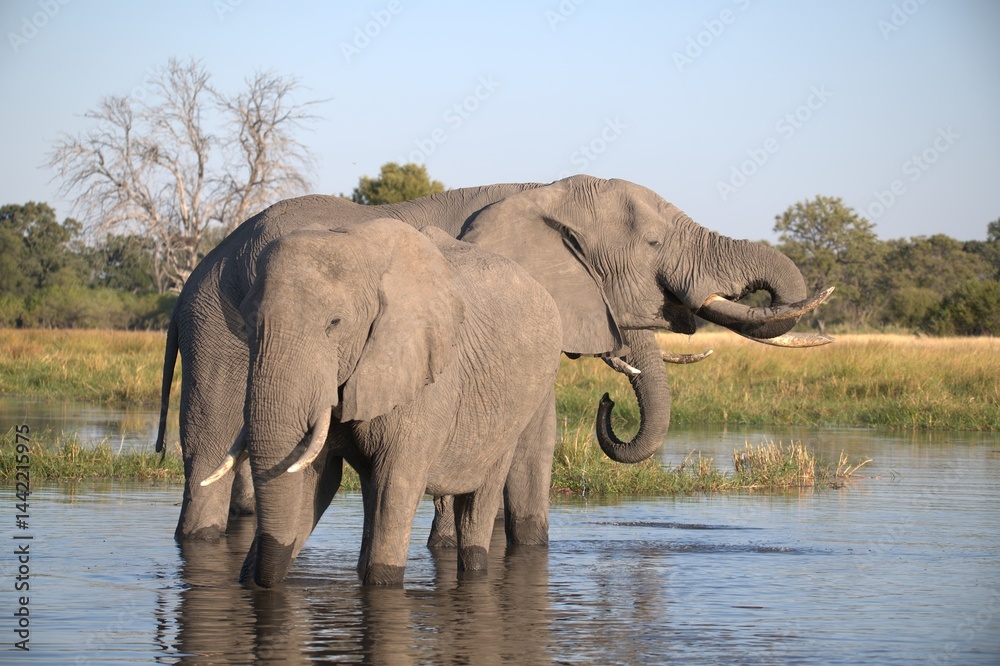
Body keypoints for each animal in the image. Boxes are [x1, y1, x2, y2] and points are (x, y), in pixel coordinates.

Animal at [156, 175, 831, 544]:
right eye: (654, 243)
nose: (611, 402)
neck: (543, 190)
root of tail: (189, 285)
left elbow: (529, 434)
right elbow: (532, 439)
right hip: (221, 337)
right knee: (209, 452)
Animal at [205, 218, 564, 586]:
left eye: (335, 323)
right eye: (246, 323)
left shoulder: (425, 378)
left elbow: (395, 484)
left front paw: (383, 583)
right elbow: (313, 480)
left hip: (520, 405)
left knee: (478, 501)